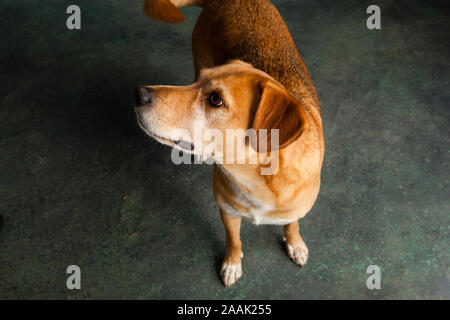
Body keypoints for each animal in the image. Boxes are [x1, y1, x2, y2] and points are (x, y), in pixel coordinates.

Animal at [134, 0, 324, 288]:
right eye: (197, 82)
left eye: (215, 100)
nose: (139, 94)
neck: (258, 179)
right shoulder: (227, 211)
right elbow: (233, 240)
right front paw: (232, 264)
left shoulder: (295, 210)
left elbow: (292, 224)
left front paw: (295, 244)